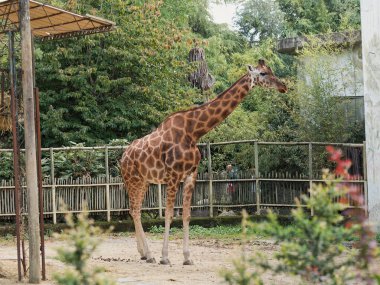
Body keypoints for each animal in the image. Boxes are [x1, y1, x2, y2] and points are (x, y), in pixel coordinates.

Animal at [120, 59, 286, 264]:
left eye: (270, 70)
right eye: (263, 73)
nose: (283, 86)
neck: (194, 132)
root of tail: (123, 157)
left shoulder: (191, 174)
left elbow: (186, 215)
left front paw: (187, 257)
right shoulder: (173, 176)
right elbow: (169, 214)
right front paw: (165, 257)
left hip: (143, 181)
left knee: (134, 209)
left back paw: (144, 254)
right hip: (132, 180)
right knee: (135, 210)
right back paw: (150, 255)